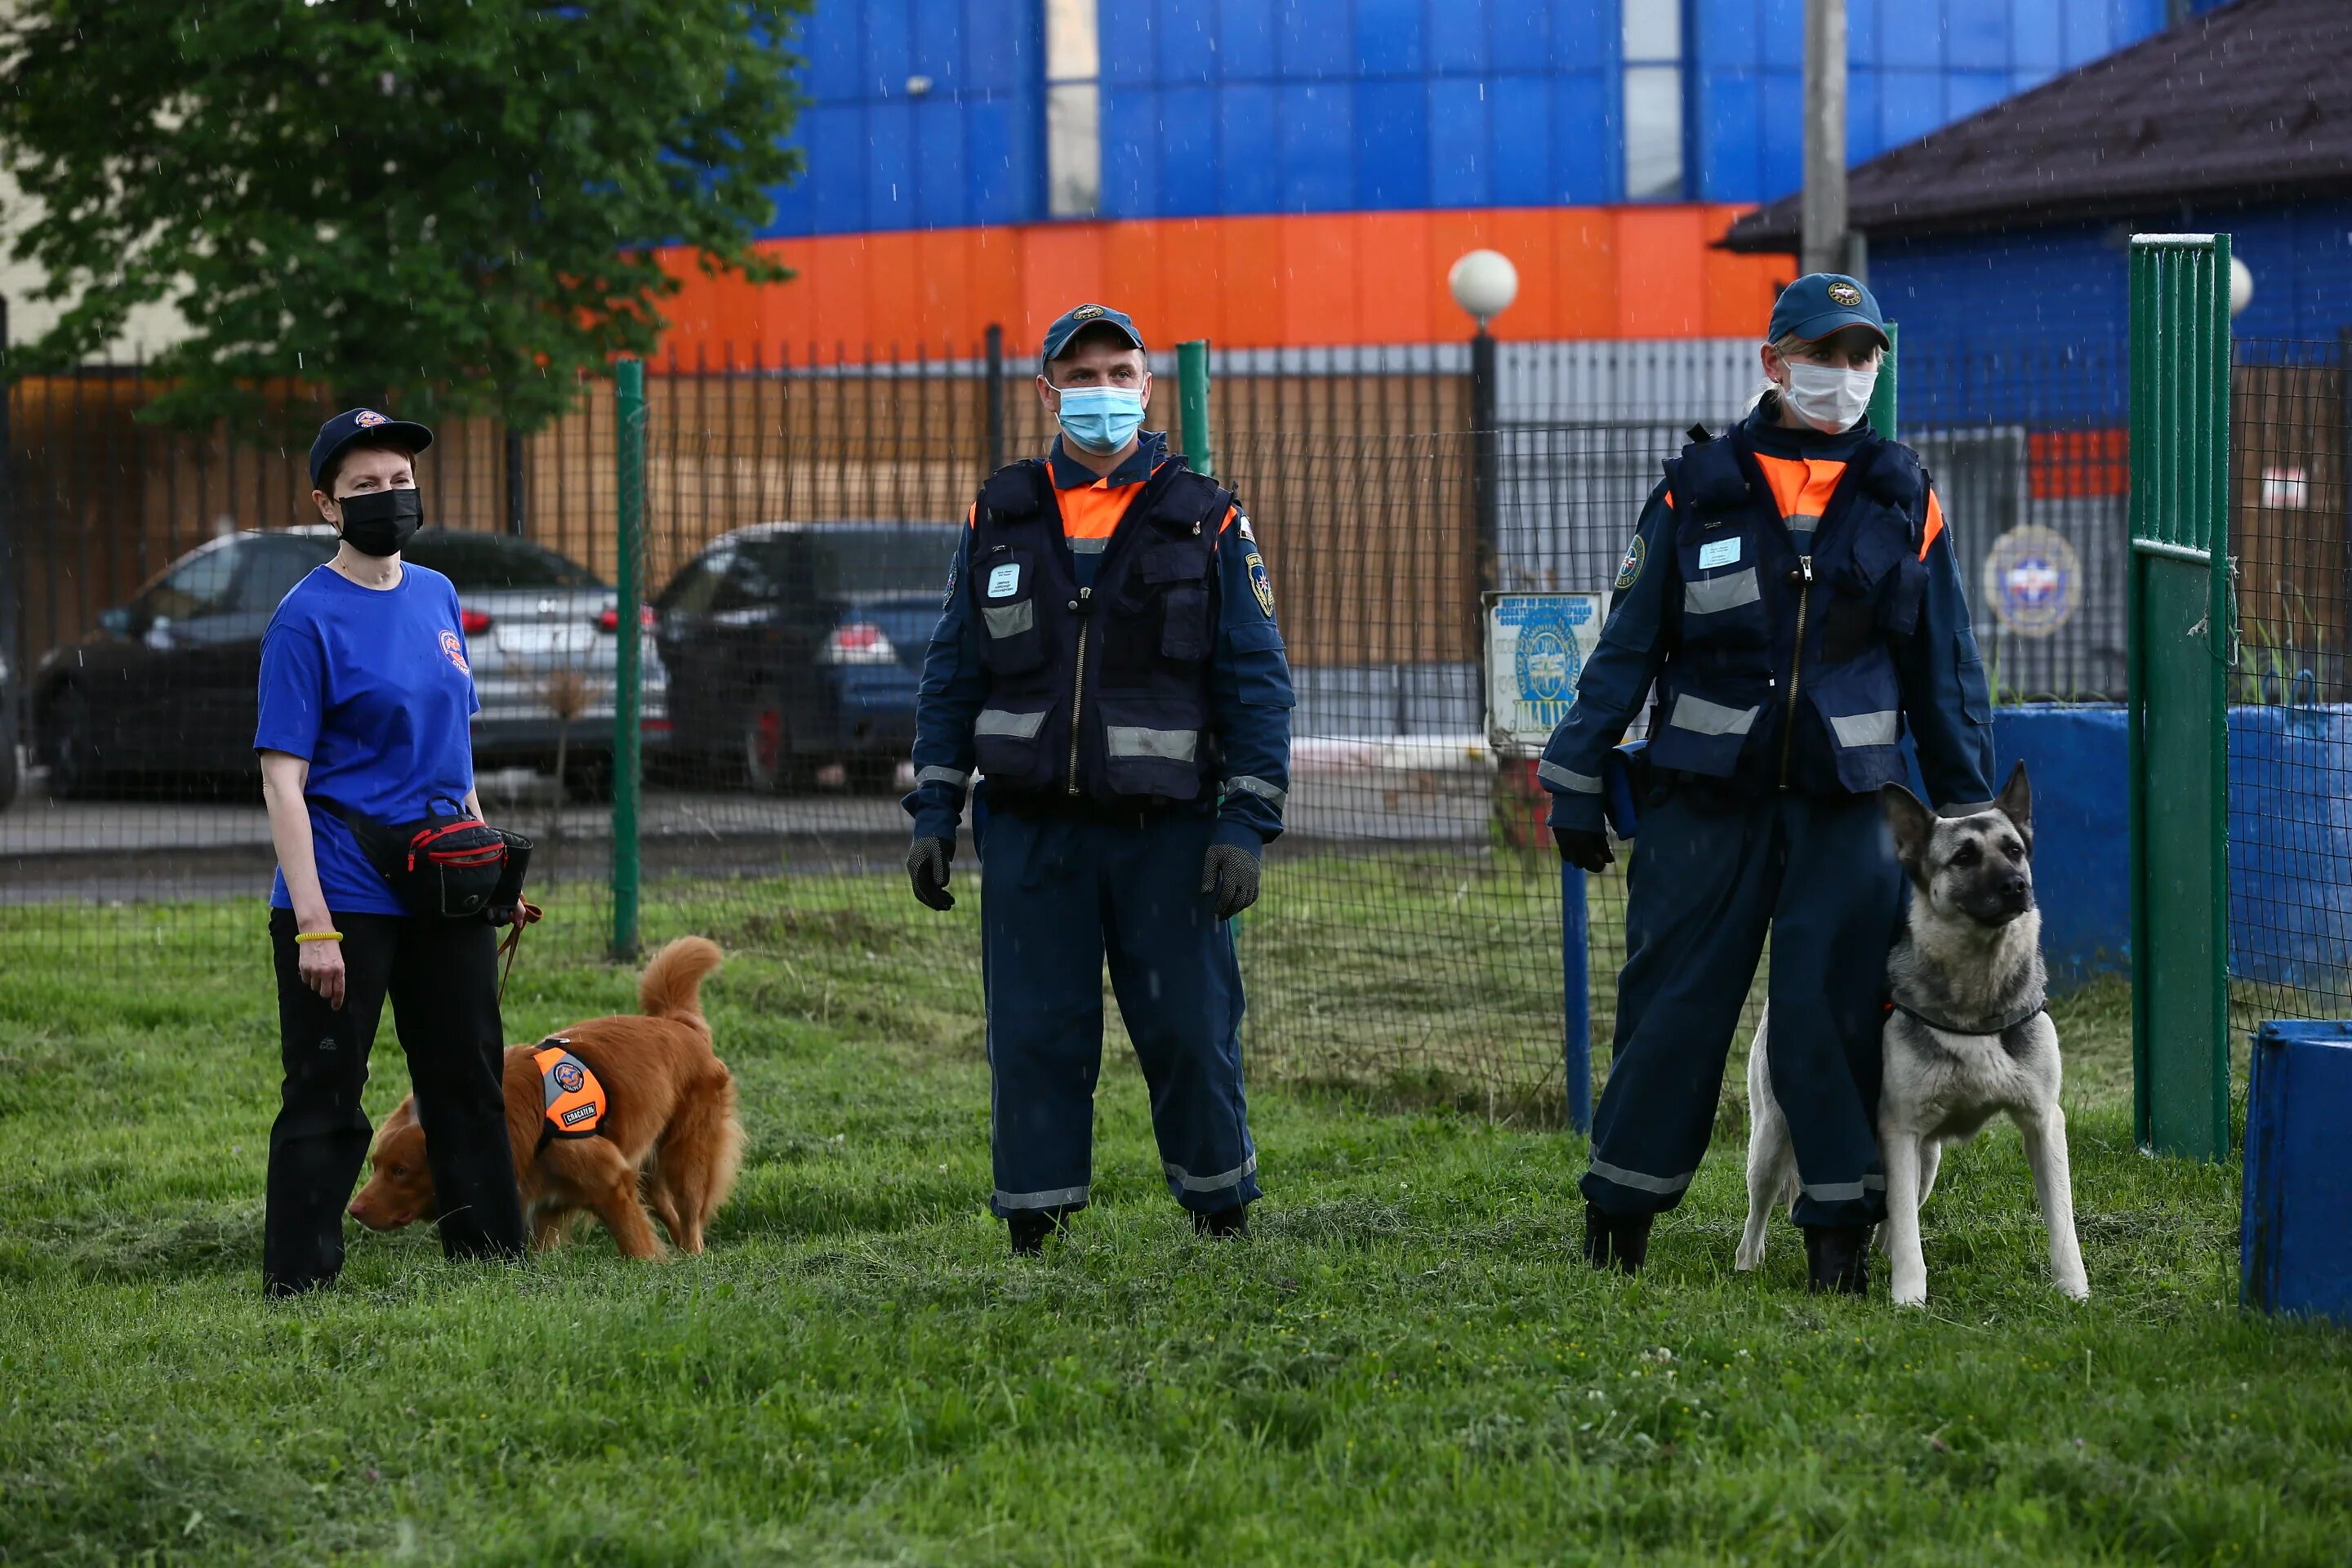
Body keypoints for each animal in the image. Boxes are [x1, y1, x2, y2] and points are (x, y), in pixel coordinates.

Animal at [343, 930, 733, 1259]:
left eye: (400, 1171)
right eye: (376, 1165)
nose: (354, 1210)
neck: (524, 1119)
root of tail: (676, 1023)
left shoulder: (611, 1181)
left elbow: (634, 1240)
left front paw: (649, 1268)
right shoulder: (545, 1204)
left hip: (686, 1158)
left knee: (690, 1214)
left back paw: (693, 1255)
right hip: (648, 1166)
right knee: (668, 1211)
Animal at [1731, 766, 2097, 1307]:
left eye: (2014, 849)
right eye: (1964, 857)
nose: (2016, 886)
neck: (1975, 999)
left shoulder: (2042, 1123)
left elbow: (2063, 1221)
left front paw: (2073, 1290)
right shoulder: (1899, 1132)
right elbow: (1908, 1235)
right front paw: (1908, 1298)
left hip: (1927, 1161)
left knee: (1890, 1217)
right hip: (1772, 1142)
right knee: (1760, 1210)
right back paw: (1747, 1265)